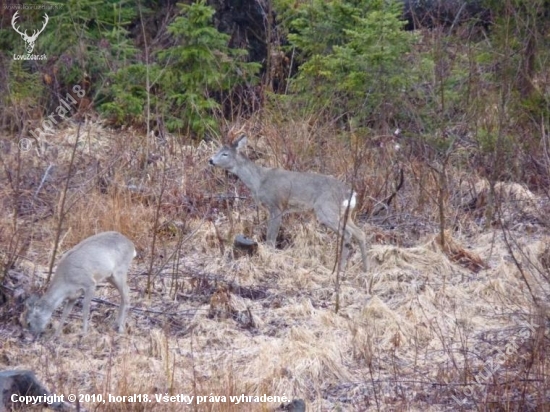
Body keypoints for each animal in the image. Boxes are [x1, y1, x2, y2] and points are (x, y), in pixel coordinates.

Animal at [209, 135, 368, 272]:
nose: (210, 160)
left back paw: (339, 269)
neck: (258, 182)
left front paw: (269, 258)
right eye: (218, 150)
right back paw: (366, 269)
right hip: (344, 212)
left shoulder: (277, 205)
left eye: (225, 154)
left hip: (326, 209)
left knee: (347, 233)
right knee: (360, 233)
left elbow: (271, 236)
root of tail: (349, 193)